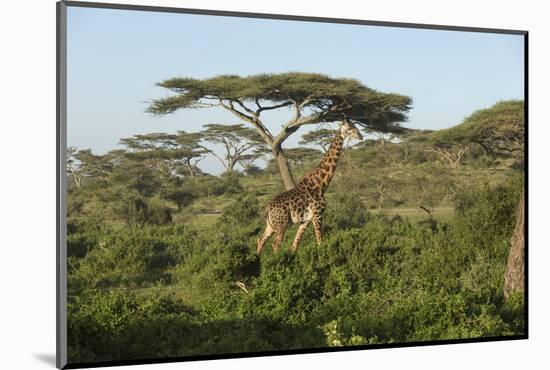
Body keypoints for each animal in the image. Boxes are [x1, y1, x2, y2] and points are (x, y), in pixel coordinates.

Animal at [258, 121, 364, 254]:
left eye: (355, 126)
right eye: (349, 128)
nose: (361, 136)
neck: (321, 184)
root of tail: (268, 207)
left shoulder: (306, 220)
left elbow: (295, 245)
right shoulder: (318, 214)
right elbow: (320, 240)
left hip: (271, 225)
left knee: (261, 239)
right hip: (281, 225)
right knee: (275, 245)